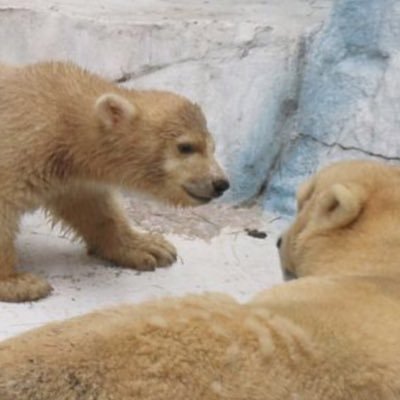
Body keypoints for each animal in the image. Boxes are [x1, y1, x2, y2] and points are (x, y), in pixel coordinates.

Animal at [0, 61, 228, 302]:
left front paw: (150, 247)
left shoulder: (73, 174)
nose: (221, 183)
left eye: (212, 147)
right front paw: (18, 283)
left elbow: (95, 208)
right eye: (186, 147)